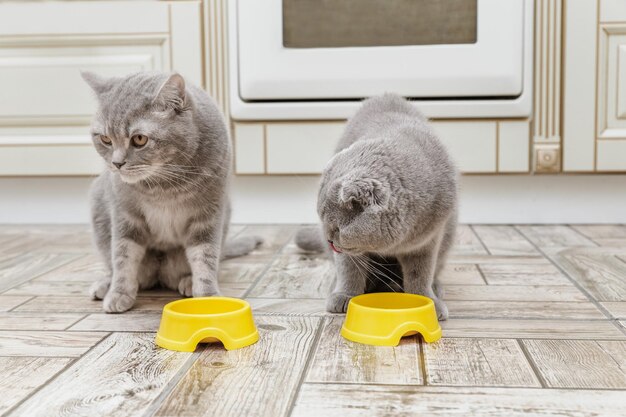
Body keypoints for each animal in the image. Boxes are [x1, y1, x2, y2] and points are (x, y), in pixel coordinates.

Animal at [81, 72, 260, 312]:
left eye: (139, 139)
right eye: (105, 139)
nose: (117, 163)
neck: (163, 184)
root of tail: (160, 273)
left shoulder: (208, 215)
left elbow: (205, 257)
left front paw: (208, 296)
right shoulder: (125, 216)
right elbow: (122, 256)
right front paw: (118, 293)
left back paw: (188, 281)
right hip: (98, 202)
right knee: (120, 268)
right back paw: (105, 284)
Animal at [294, 93, 456, 318]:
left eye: (337, 228)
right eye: (323, 222)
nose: (329, 240)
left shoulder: (428, 239)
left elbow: (420, 272)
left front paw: (428, 301)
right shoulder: (348, 253)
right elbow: (349, 268)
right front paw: (344, 295)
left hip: (448, 235)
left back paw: (434, 287)